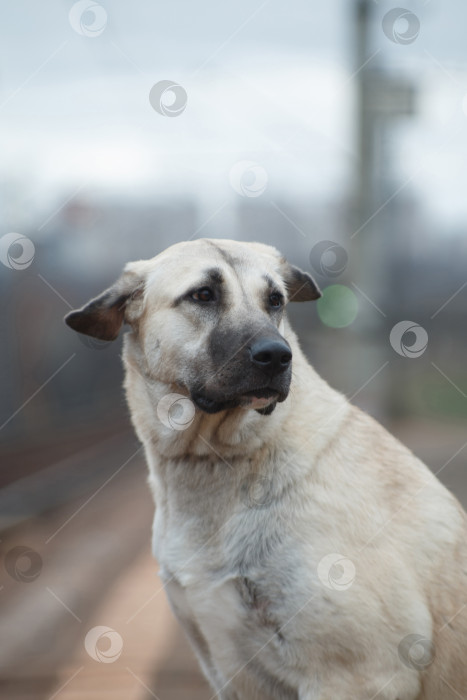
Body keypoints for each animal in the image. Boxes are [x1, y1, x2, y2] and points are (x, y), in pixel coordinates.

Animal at [66, 238, 467, 696]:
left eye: (275, 300)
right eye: (203, 294)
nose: (276, 355)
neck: (215, 458)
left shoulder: (358, 676)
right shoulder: (229, 670)